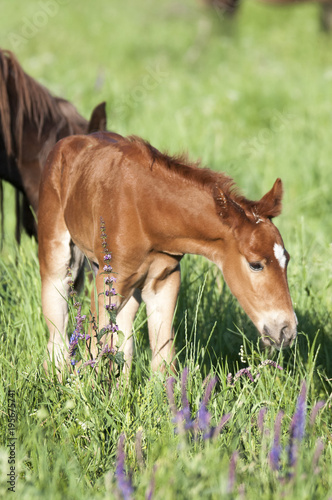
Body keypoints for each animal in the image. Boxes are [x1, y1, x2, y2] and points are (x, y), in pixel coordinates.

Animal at [37, 131, 296, 374]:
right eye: (255, 264)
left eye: (287, 260)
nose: (287, 331)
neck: (147, 212)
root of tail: (71, 140)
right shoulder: (109, 279)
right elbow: (97, 346)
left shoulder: (163, 279)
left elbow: (162, 358)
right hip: (58, 254)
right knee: (58, 331)